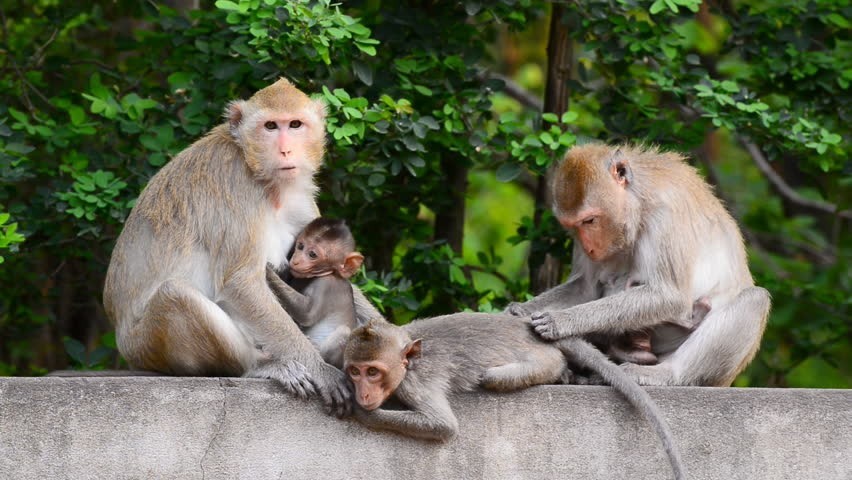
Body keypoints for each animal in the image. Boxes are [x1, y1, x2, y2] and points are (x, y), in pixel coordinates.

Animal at [264, 217, 362, 368]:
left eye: (312, 255)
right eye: (300, 246)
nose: (296, 261)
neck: (328, 273)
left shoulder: (326, 285)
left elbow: (307, 313)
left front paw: (268, 271)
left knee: (344, 332)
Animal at [342, 316, 684, 480]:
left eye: (373, 372)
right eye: (354, 371)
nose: (363, 392)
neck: (408, 360)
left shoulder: (416, 383)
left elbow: (443, 425)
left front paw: (364, 414)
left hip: (540, 361)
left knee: (494, 377)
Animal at [510, 142, 776, 386]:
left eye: (590, 220)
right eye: (573, 226)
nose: (589, 248)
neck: (639, 204)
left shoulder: (666, 214)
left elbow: (670, 296)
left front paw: (560, 321)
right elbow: (585, 286)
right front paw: (517, 311)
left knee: (755, 300)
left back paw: (663, 373)